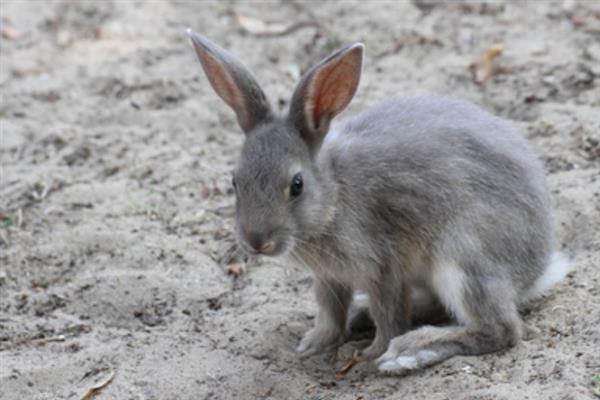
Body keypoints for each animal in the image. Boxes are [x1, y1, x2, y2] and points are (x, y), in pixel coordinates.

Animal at [188, 29, 572, 374]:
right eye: (234, 180)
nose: (256, 242)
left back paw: (409, 351)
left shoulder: (382, 267)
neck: (334, 194)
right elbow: (330, 310)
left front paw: (372, 354)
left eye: (296, 185)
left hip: (463, 258)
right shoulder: (330, 277)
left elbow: (388, 314)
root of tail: (537, 269)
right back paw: (363, 318)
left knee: (500, 329)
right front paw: (316, 343)